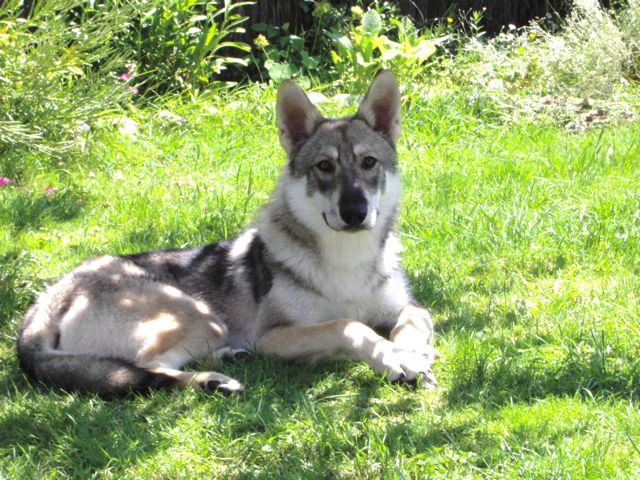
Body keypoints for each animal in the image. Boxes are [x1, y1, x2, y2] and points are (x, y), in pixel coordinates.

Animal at [17, 70, 438, 396]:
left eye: (369, 163)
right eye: (324, 167)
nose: (355, 213)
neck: (347, 259)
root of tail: (50, 296)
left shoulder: (410, 307)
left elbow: (408, 328)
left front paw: (411, 356)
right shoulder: (271, 336)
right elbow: (348, 325)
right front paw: (392, 357)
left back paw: (227, 358)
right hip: (200, 318)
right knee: (148, 368)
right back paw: (213, 381)